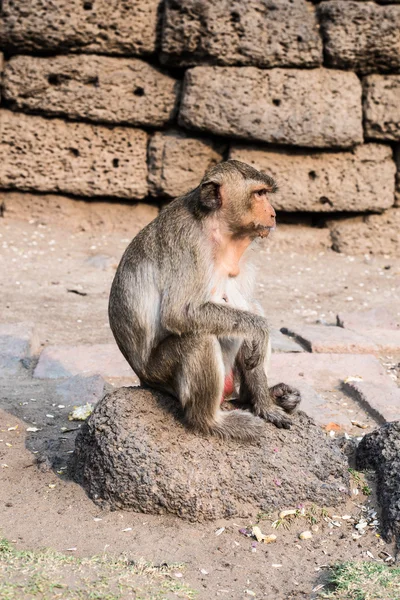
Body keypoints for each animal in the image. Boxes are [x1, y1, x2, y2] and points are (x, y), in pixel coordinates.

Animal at [108, 159, 300, 440]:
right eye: (259, 194)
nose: (273, 213)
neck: (217, 228)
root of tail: (143, 380)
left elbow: (246, 310)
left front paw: (264, 403)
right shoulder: (188, 241)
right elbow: (180, 312)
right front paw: (260, 330)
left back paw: (260, 399)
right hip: (159, 374)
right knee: (198, 339)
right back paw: (211, 422)